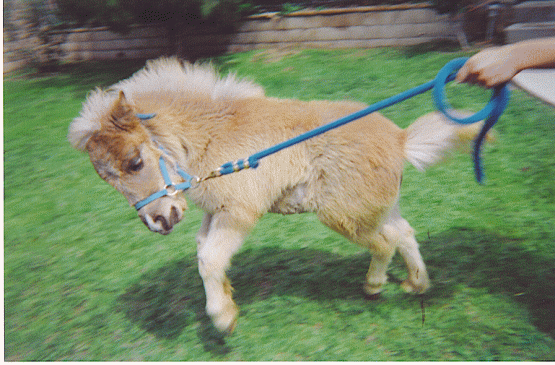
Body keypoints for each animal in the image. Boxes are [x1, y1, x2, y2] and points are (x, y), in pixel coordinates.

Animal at [69, 57, 484, 332]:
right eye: (106, 179)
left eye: (135, 161)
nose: (158, 221)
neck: (209, 137)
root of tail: (400, 139)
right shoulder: (214, 211)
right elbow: (204, 251)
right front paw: (228, 299)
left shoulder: (238, 210)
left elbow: (210, 259)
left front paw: (222, 318)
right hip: (377, 207)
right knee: (405, 233)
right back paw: (416, 284)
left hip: (343, 214)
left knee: (386, 241)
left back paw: (373, 286)